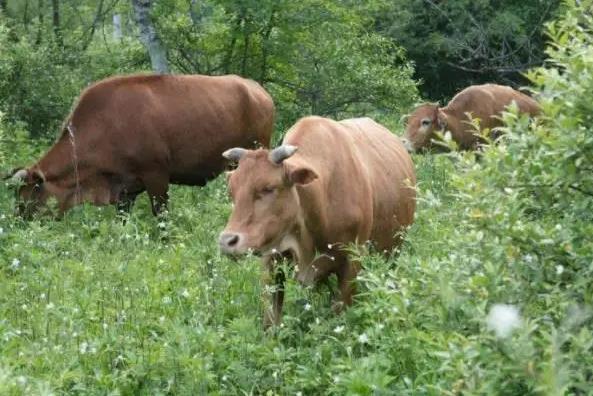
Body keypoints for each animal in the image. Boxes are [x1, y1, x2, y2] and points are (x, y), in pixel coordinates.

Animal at [7, 74, 276, 217]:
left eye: (28, 197)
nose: (19, 221)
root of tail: (259, 91)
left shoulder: (156, 177)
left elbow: (161, 216)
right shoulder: (125, 189)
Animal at [219, 116, 416, 326]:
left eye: (269, 188)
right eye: (232, 191)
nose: (227, 241)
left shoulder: (353, 261)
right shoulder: (270, 260)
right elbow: (271, 319)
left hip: (393, 252)